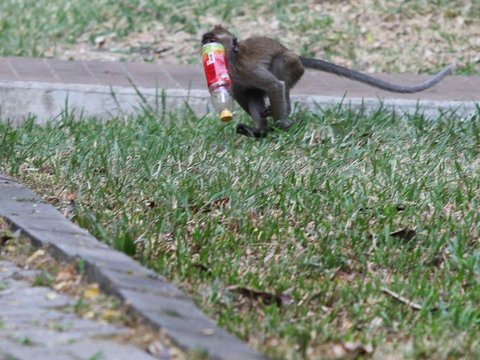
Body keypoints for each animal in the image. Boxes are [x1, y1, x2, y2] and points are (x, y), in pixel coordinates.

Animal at [200, 25, 454, 138]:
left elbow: (274, 85)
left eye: (211, 39)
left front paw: (282, 126)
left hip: (293, 64)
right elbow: (248, 96)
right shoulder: (236, 78)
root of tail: (298, 56)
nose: (204, 43)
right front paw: (260, 130)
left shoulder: (246, 69)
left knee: (281, 68)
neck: (230, 60)